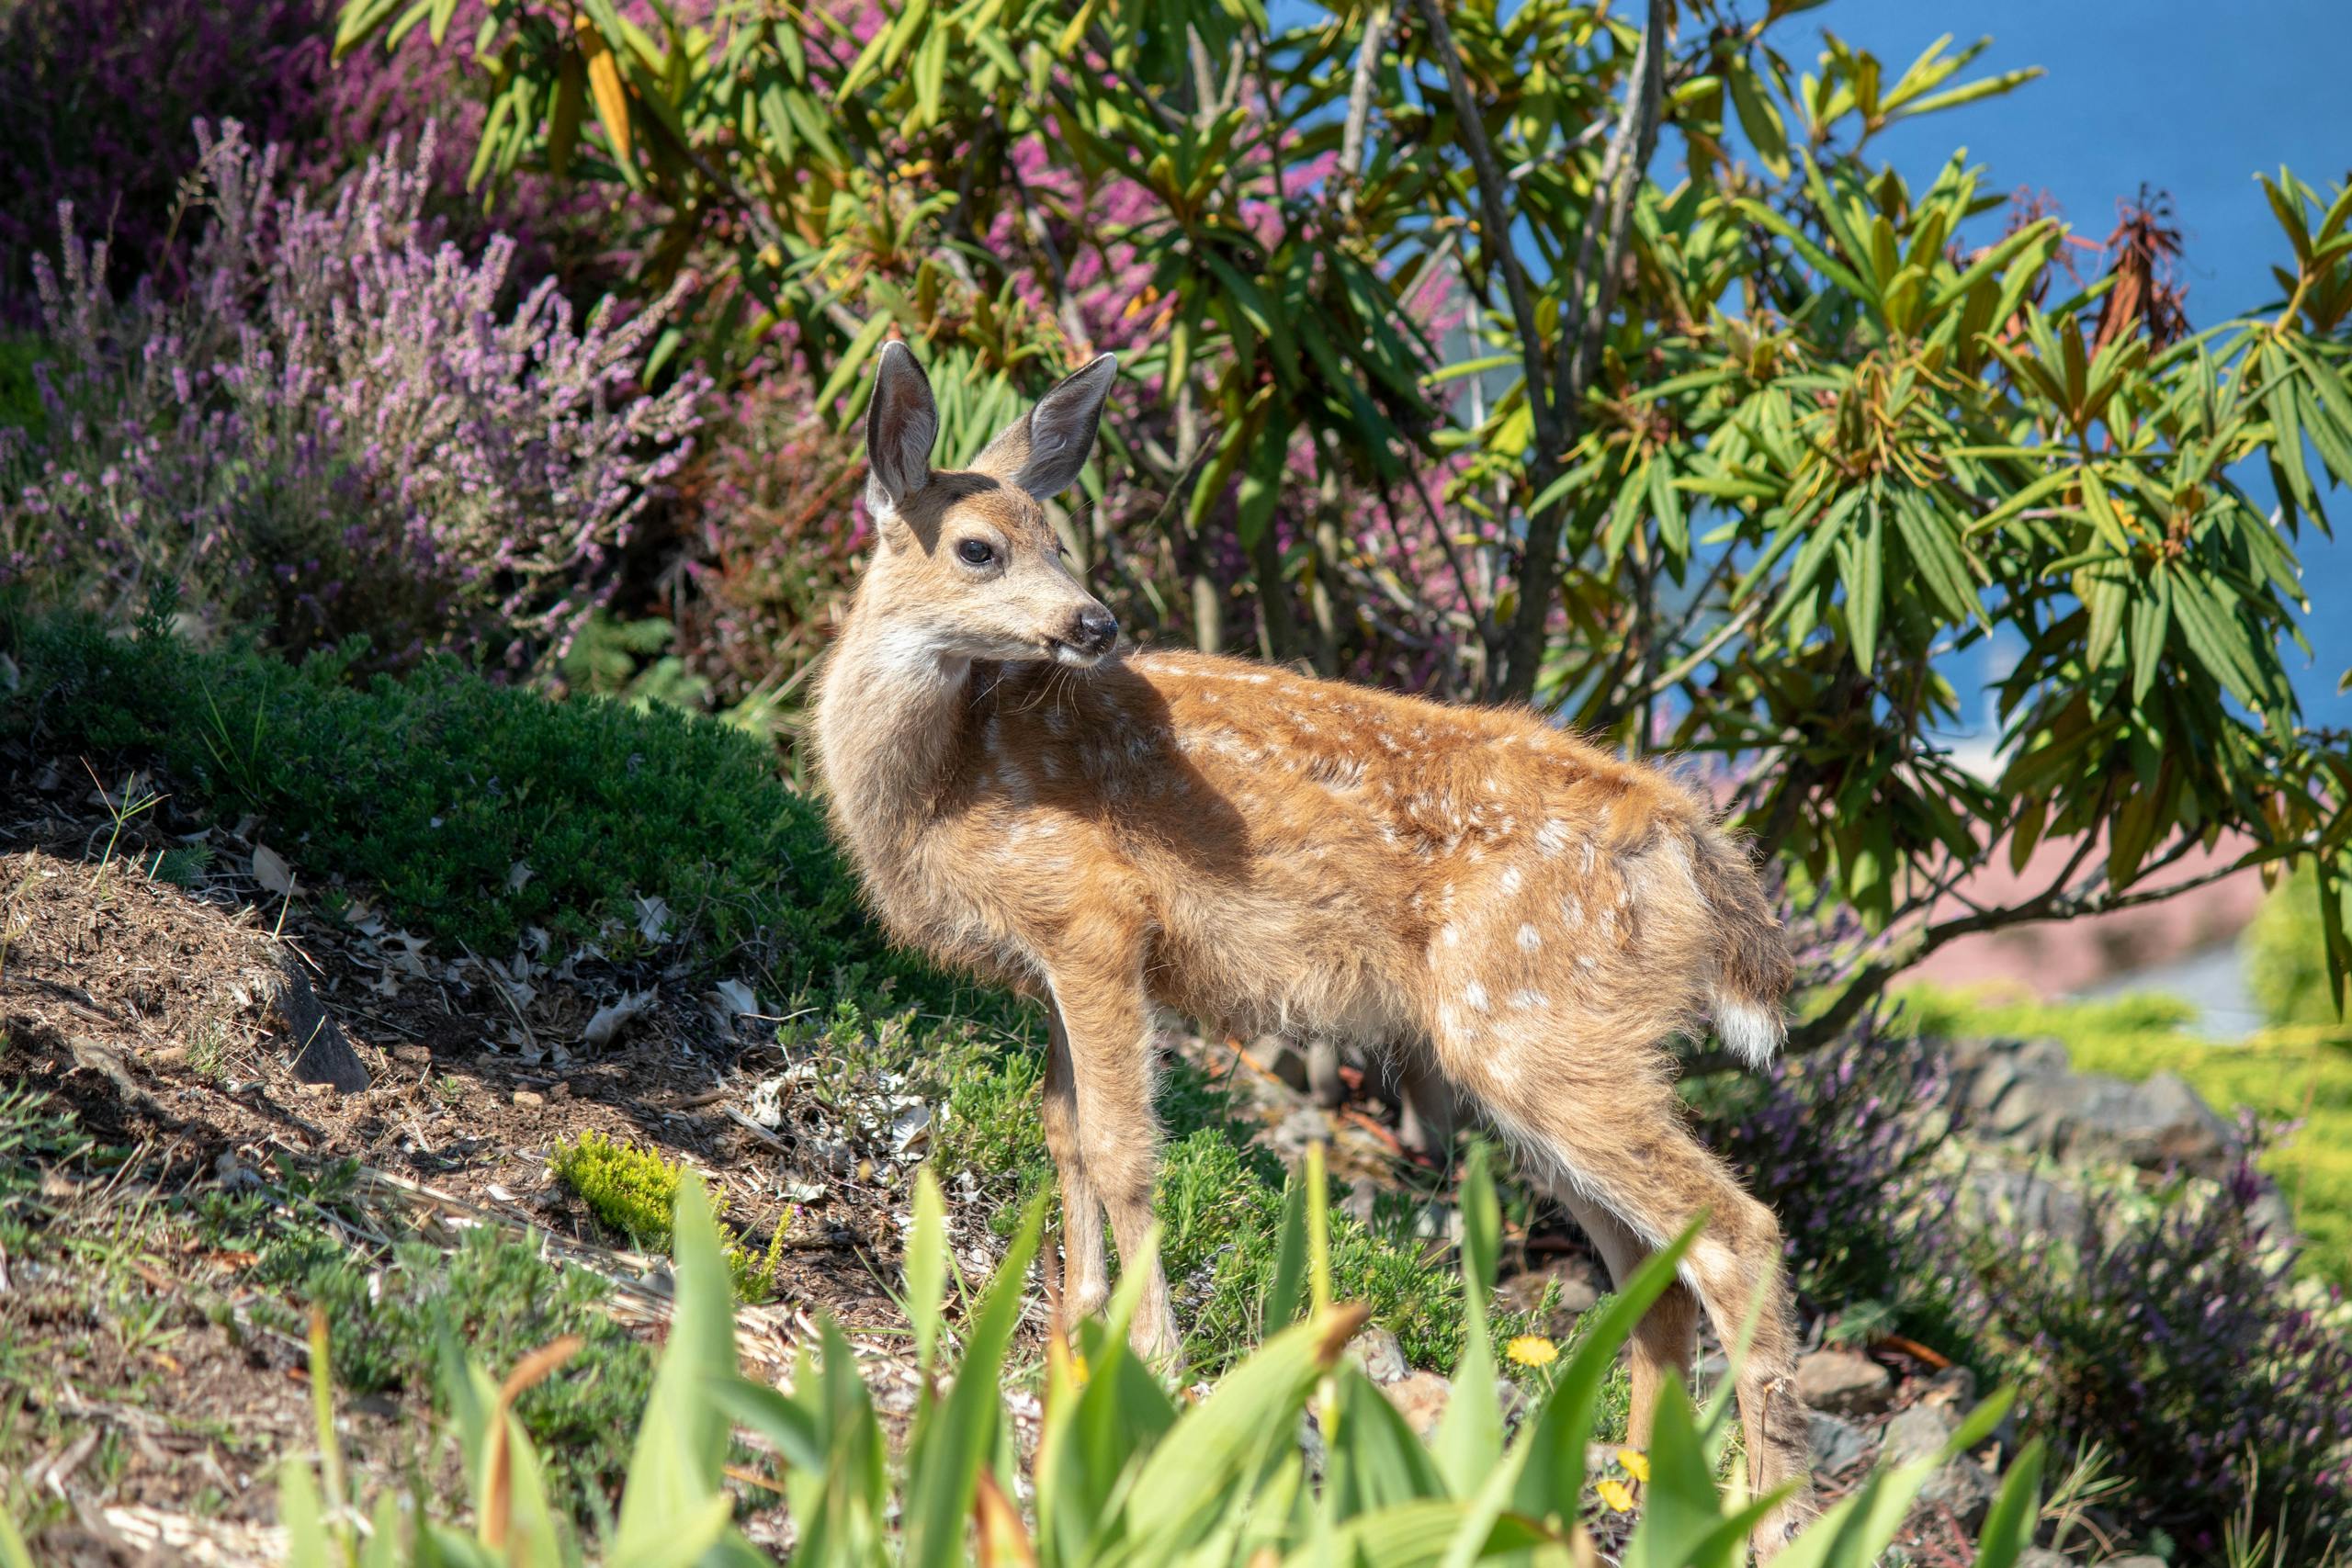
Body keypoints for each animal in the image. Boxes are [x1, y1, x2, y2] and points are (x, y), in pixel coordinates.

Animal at [811, 342, 1818, 1551]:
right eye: (979, 546)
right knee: (1645, 1261)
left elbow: (1121, 1146)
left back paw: (1770, 1523)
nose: (1095, 623)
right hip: (1549, 1048)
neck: (941, 784)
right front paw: (1073, 1331)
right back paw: (1619, 1481)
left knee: (1735, 1232)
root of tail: (1683, 837)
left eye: (1058, 539)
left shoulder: (1093, 915)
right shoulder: (1058, 960)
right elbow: (1064, 1133)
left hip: (1537, 1020)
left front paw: (1151, 1362)